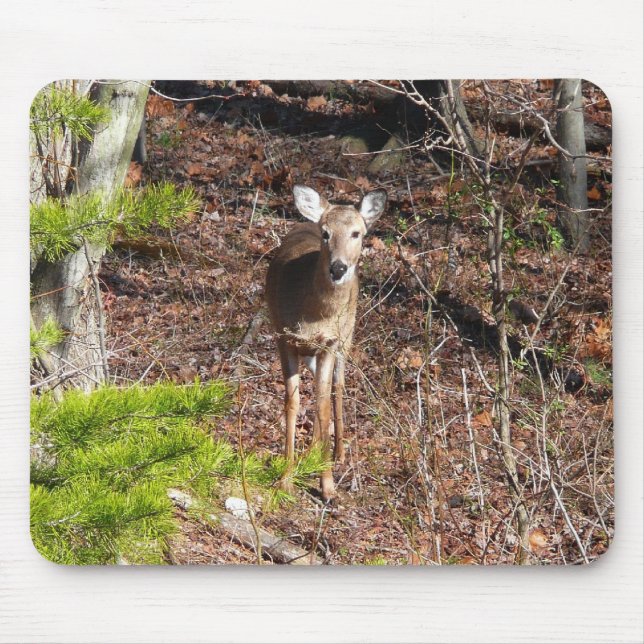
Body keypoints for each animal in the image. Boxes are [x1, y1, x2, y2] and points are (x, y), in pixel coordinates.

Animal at [265, 185, 387, 501]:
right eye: (326, 233)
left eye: (357, 233)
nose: (338, 268)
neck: (314, 315)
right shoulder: (284, 337)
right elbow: (293, 402)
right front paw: (285, 478)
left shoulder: (330, 343)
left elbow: (321, 405)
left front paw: (328, 485)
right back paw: (313, 452)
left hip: (347, 336)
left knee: (338, 387)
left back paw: (337, 453)